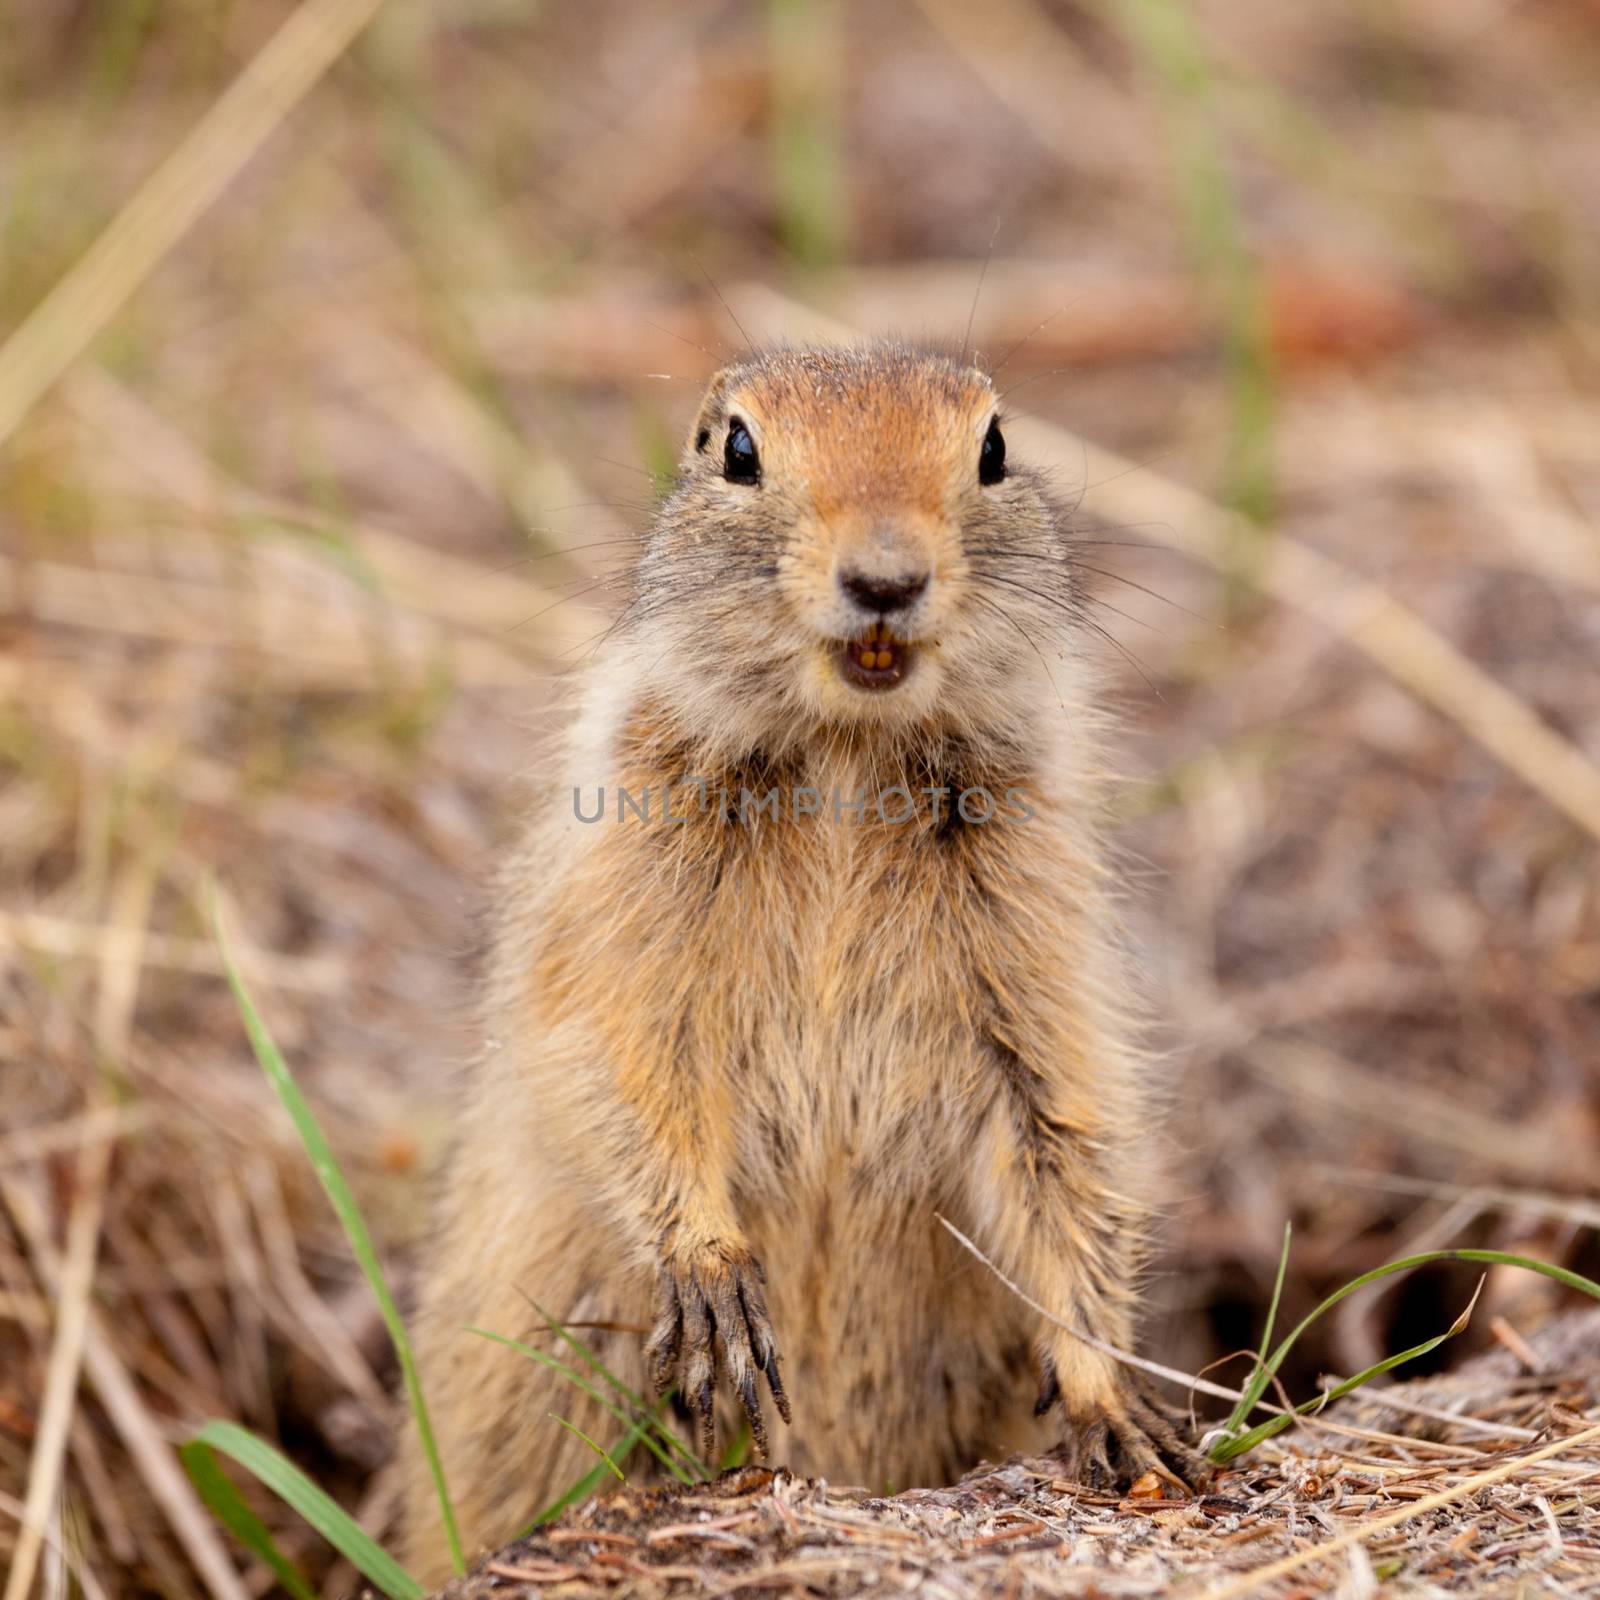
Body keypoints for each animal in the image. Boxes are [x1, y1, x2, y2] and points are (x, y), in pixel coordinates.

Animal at [396, 344, 1203, 1580]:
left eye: (993, 448)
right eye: (736, 448)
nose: (885, 578)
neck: (845, 753)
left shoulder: (1038, 938)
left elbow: (1064, 1138)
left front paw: (1113, 1404)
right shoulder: (622, 894)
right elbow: (615, 1056)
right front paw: (715, 1284)